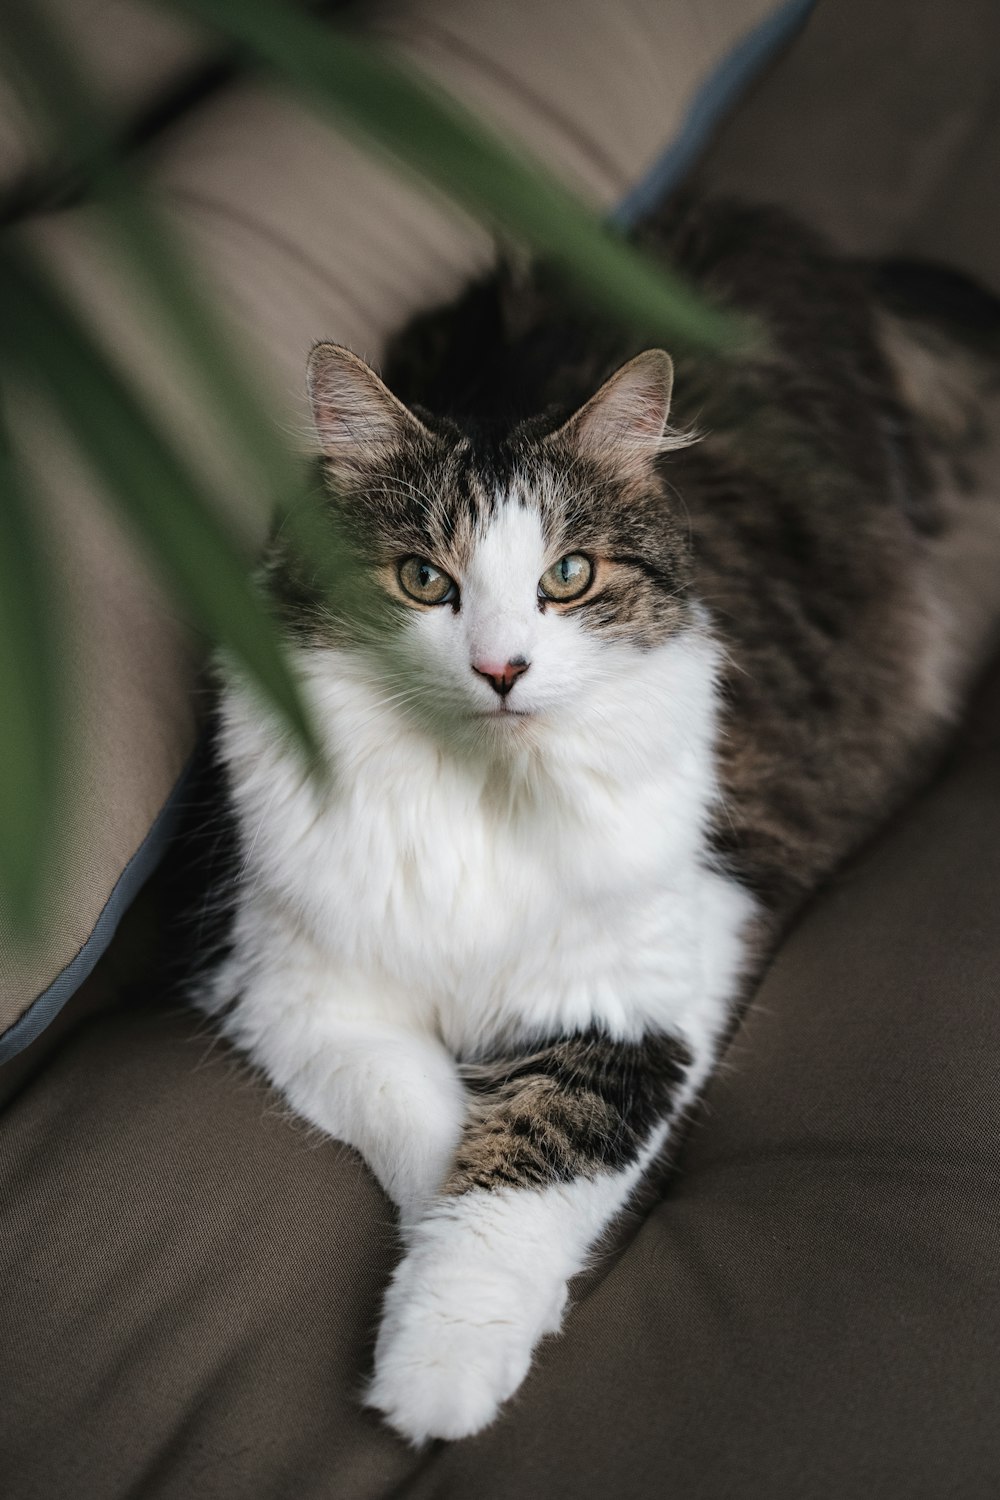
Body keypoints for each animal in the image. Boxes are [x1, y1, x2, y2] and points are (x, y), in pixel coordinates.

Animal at [189, 196, 1000, 1440]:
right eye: (424, 582)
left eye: (567, 577)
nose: (502, 670)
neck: (480, 790)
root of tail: (777, 229)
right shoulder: (304, 995)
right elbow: (433, 1134)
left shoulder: (640, 979)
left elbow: (523, 1174)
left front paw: (440, 1371)